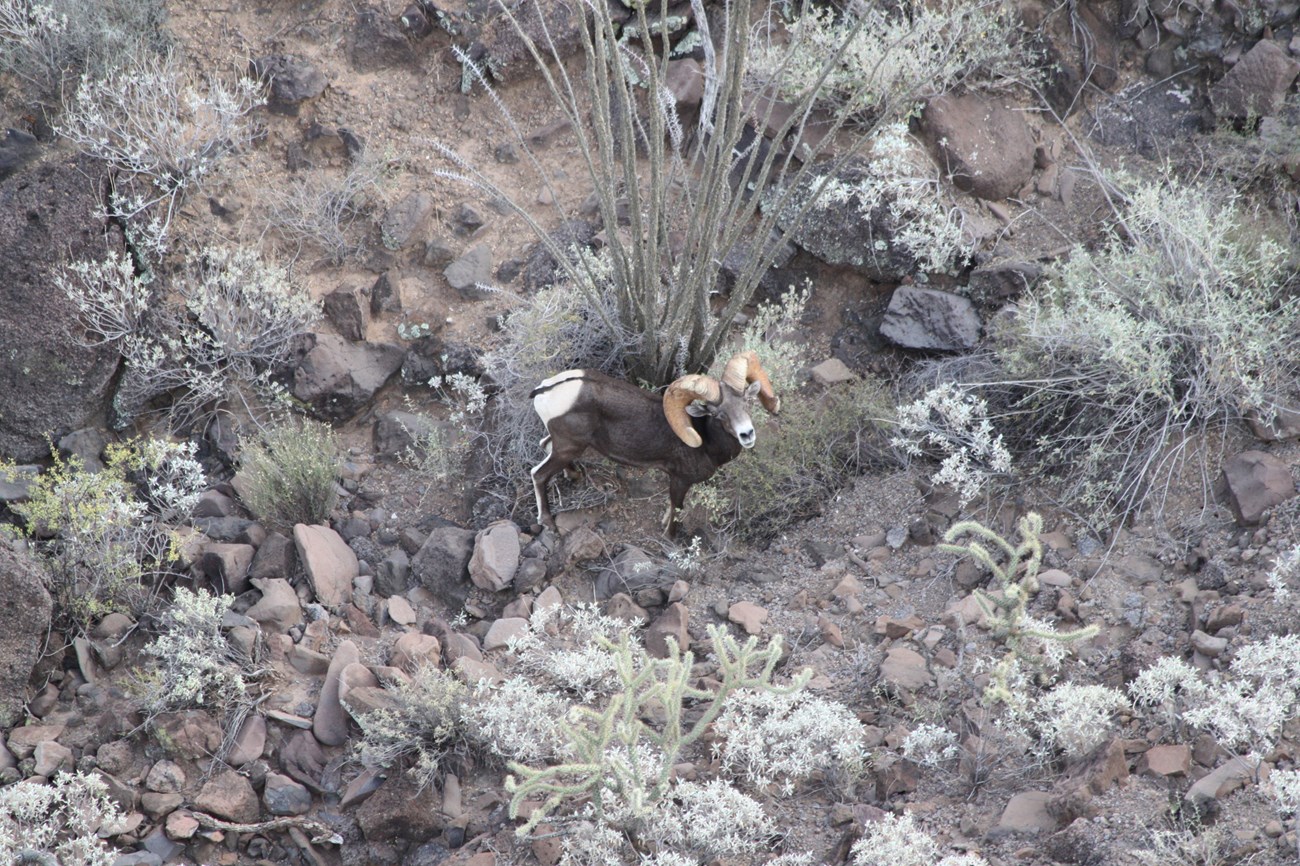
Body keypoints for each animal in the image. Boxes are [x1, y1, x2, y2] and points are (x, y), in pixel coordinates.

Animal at [530, 348, 774, 530]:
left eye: (746, 402)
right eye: (718, 414)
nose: (746, 434)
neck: (706, 443)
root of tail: (545, 390)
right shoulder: (680, 481)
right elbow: (676, 509)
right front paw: (670, 538)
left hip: (566, 446)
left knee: (544, 446)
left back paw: (574, 475)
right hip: (569, 447)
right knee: (538, 474)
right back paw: (548, 522)